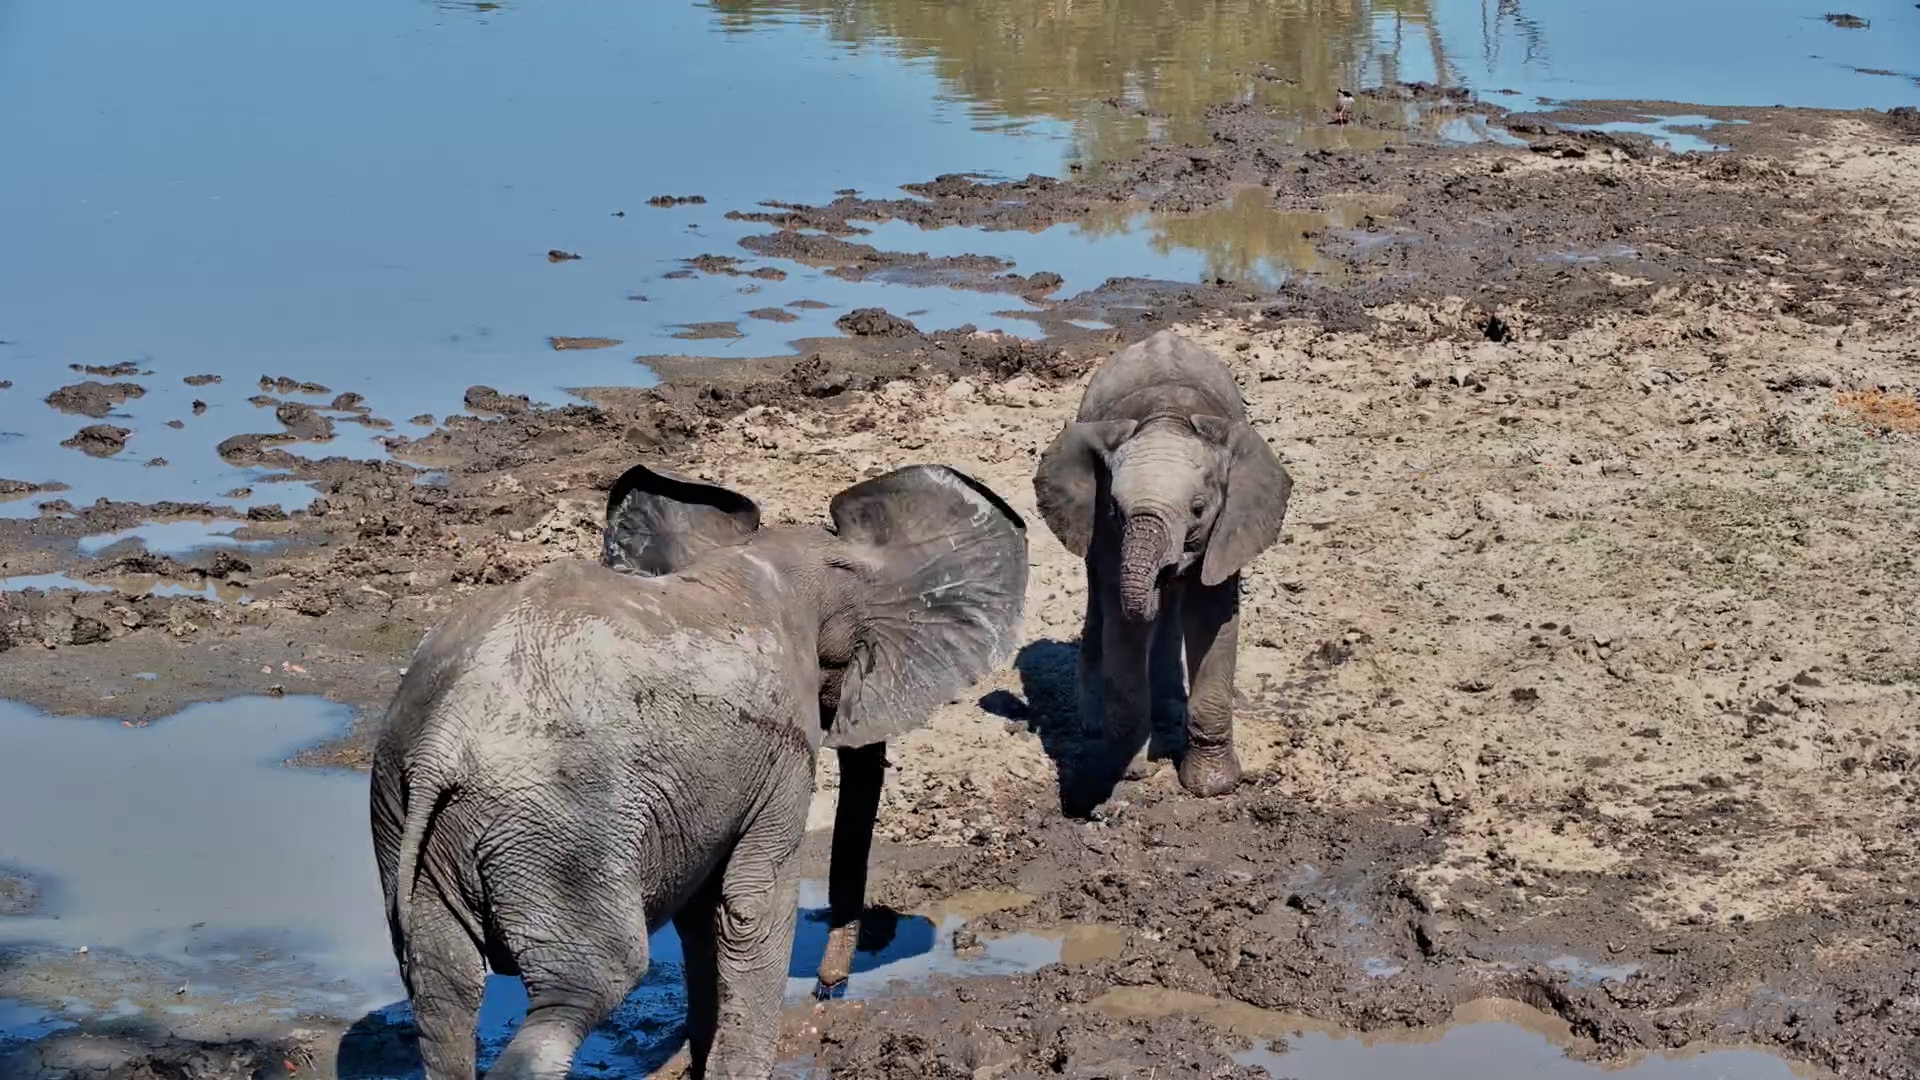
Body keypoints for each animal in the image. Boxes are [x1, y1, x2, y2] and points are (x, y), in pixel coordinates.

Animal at [369, 462, 1027, 1080]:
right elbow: (750, 907)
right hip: (558, 831)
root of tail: (444, 739)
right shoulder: (780, 748)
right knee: (585, 988)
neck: (767, 561)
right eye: (843, 662)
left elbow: (700, 914)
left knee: (441, 992)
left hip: (407, 817)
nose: (829, 989)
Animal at [1033, 329, 1291, 799]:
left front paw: (1212, 786)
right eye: (1115, 510)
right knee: (1100, 605)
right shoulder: (1105, 532)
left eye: (1198, 510)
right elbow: (1125, 624)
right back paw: (1096, 726)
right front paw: (1132, 771)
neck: (1167, 417)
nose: (1165, 571)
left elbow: (1212, 616)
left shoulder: (1228, 528)